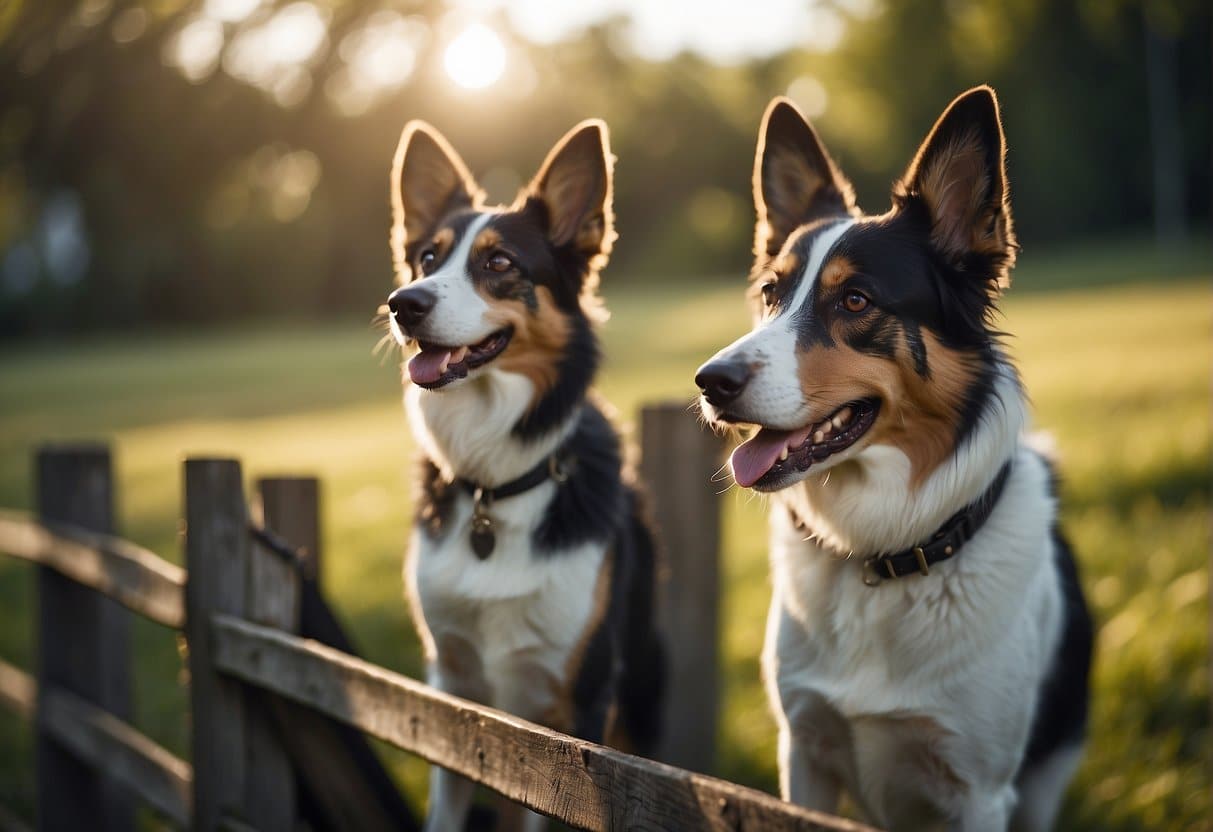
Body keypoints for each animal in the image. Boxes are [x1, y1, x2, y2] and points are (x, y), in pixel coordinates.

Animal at [383, 118, 664, 832]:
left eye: (500, 263)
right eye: (427, 259)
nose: (402, 304)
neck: (496, 486)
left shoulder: (580, 707)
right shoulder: (449, 688)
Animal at [693, 87, 1101, 829]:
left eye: (855, 300)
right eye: (770, 294)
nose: (710, 382)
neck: (878, 556)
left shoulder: (979, 790)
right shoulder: (804, 753)